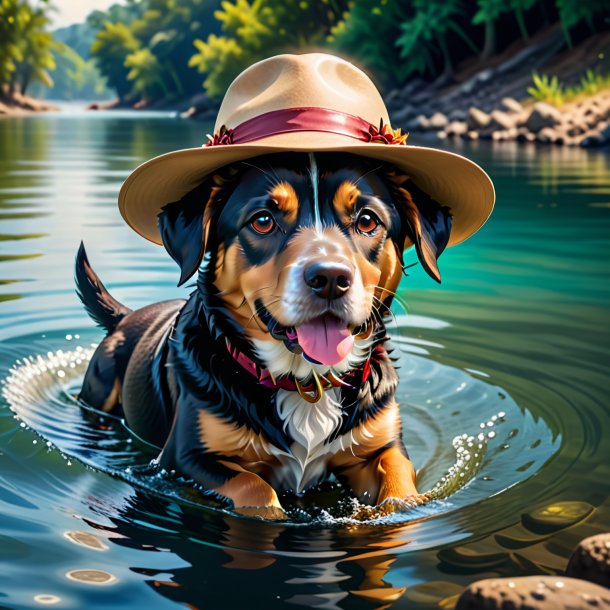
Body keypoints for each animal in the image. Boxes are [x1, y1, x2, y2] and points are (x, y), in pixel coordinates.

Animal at [73, 152, 448, 516]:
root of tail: (126, 315)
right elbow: (255, 488)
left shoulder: (383, 448)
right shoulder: (184, 458)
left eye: (368, 220)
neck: (305, 383)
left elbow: (401, 493)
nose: (330, 278)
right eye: (263, 220)